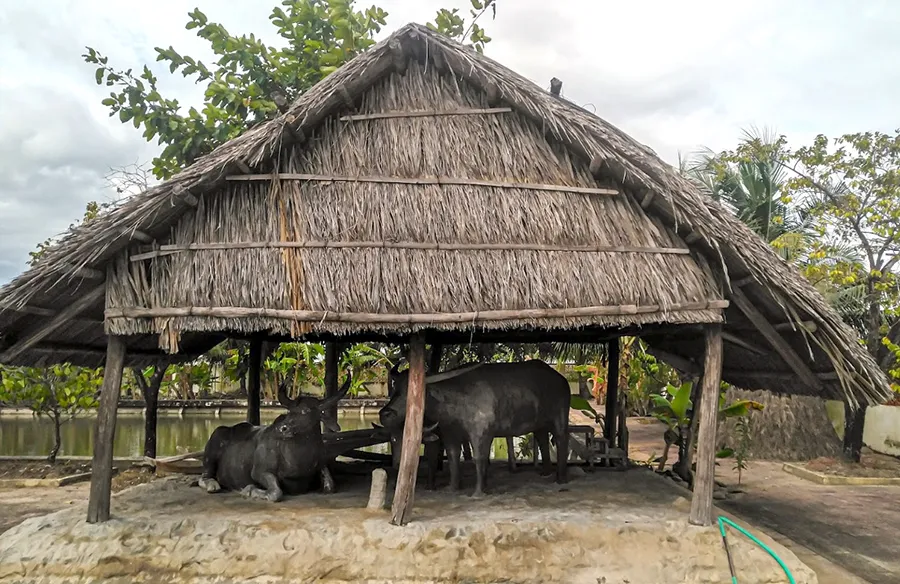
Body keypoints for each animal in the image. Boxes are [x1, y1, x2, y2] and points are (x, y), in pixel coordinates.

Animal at [200, 370, 352, 502]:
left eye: (306, 411)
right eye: (290, 411)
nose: (283, 429)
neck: (300, 457)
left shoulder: (321, 465)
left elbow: (330, 486)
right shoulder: (259, 472)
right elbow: (275, 492)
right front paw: (249, 490)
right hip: (211, 454)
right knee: (204, 476)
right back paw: (213, 485)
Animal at [380, 360, 568, 498]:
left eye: (410, 392)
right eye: (395, 388)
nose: (384, 414)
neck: (454, 401)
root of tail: (561, 379)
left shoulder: (481, 433)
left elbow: (479, 458)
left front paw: (478, 492)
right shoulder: (450, 435)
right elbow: (454, 458)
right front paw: (453, 487)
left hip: (559, 417)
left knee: (561, 440)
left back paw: (561, 478)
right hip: (540, 423)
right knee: (542, 439)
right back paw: (546, 472)